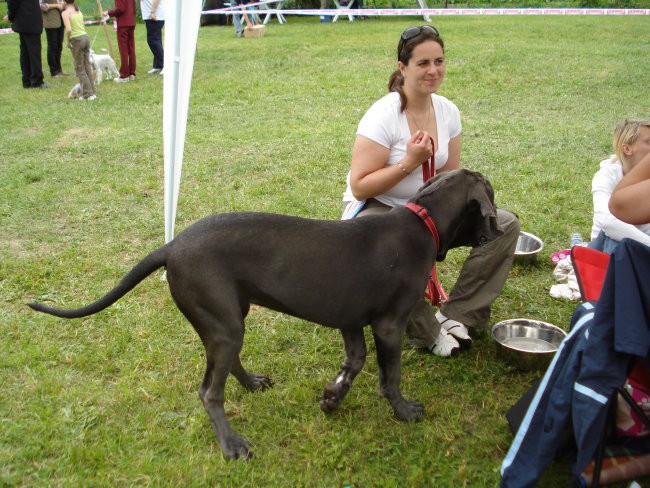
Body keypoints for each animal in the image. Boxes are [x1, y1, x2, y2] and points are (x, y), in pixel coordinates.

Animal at [29, 170, 502, 460]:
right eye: (492, 195)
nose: (499, 229)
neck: (423, 221)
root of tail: (171, 246)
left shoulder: (349, 319)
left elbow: (353, 363)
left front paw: (331, 398)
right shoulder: (389, 324)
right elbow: (391, 377)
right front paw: (404, 411)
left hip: (227, 316)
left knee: (226, 363)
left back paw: (253, 383)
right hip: (224, 321)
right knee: (209, 391)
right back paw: (232, 445)